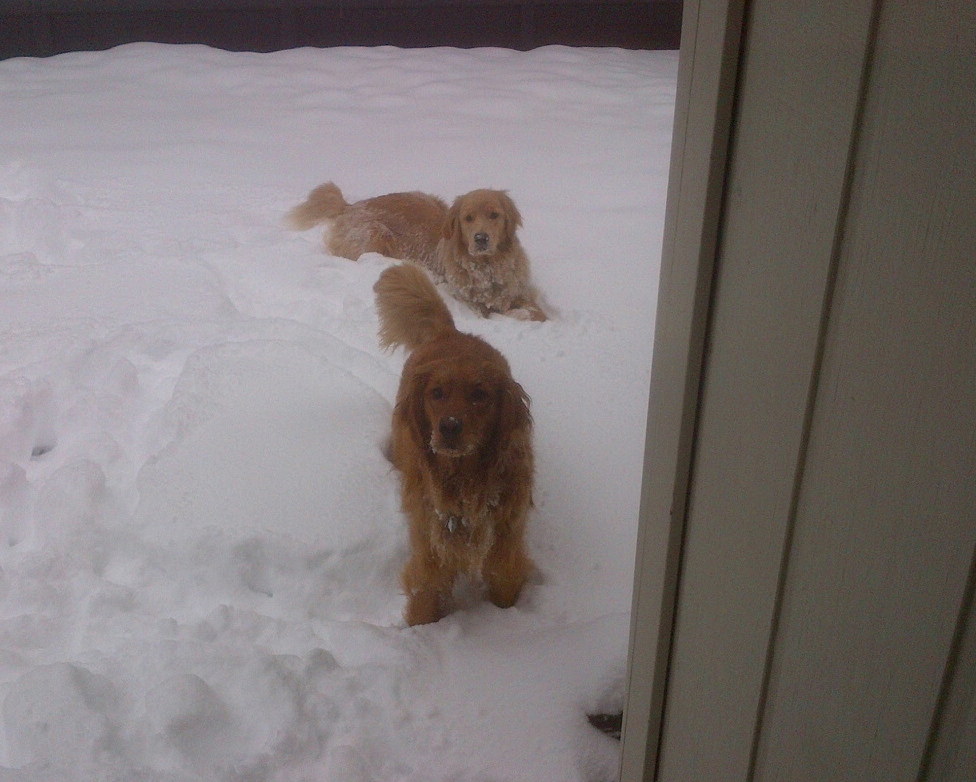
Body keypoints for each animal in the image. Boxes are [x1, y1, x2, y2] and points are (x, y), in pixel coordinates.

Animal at [288, 182, 547, 321]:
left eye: (494, 215)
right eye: (468, 218)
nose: (481, 239)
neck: (487, 268)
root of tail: (350, 206)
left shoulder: (519, 290)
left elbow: (538, 312)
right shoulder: (467, 301)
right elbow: (498, 313)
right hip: (375, 235)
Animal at [373, 262, 535, 625]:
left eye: (480, 394)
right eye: (437, 393)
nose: (449, 427)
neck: (464, 479)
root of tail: (450, 333)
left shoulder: (505, 546)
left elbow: (504, 587)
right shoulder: (430, 550)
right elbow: (425, 600)